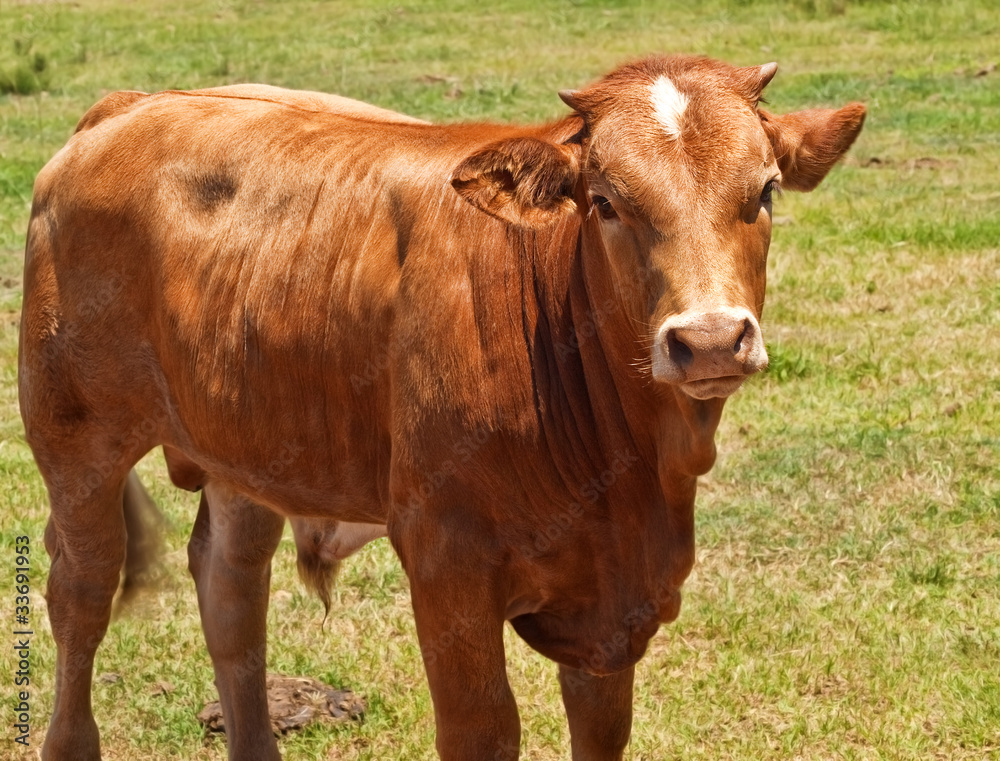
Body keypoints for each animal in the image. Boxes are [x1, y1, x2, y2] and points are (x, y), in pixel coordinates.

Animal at [21, 55, 868, 760]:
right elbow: (482, 729)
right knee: (81, 592)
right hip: (74, 438)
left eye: (765, 190)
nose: (711, 339)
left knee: (231, 595)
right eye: (604, 201)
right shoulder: (445, 558)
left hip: (247, 447)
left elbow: (601, 729)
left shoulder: (611, 609)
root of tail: (132, 105)